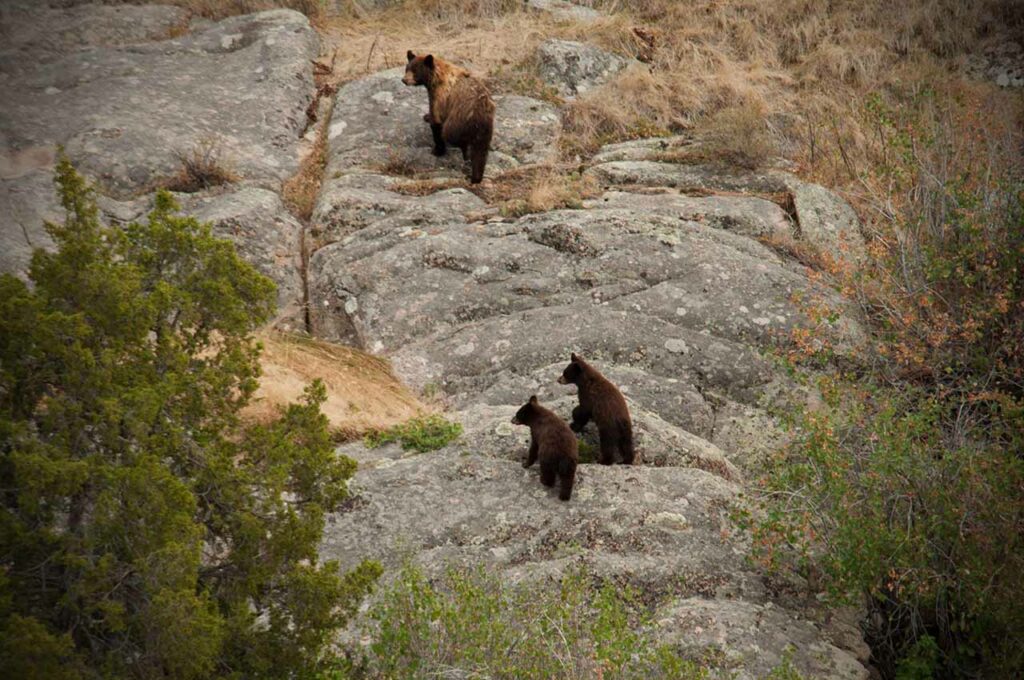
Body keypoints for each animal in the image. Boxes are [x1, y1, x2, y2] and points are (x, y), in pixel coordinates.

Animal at [401, 50, 493, 184]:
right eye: (407, 68)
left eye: (415, 70)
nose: (404, 80)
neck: (436, 78)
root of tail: (478, 114)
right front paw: (426, 116)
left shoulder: (440, 96)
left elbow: (437, 122)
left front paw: (437, 150)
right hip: (485, 129)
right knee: (481, 152)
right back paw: (476, 176)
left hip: (458, 122)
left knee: (454, 137)